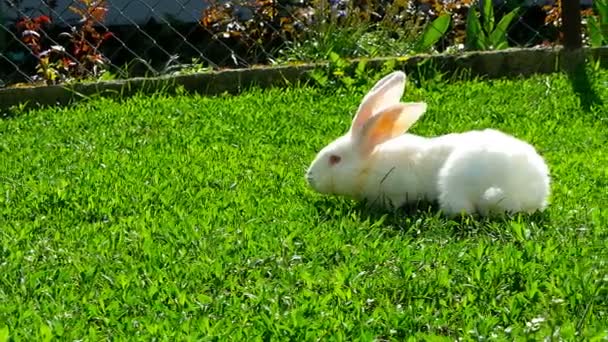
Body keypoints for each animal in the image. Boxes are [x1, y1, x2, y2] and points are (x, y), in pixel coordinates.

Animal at [306, 71, 548, 218]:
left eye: (335, 159)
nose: (309, 178)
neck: (370, 160)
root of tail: (529, 195)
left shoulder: (396, 189)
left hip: (456, 181)